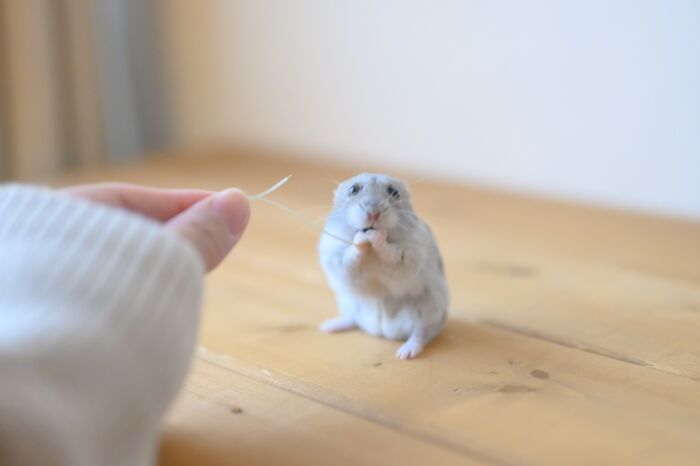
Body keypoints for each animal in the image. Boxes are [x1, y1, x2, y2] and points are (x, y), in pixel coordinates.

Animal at [318, 173, 449, 359]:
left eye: (394, 192)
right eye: (353, 189)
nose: (374, 214)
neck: (371, 251)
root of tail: (382, 331)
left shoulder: (410, 256)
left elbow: (390, 252)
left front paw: (376, 235)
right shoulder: (334, 256)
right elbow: (350, 253)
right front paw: (363, 236)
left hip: (429, 311)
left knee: (421, 334)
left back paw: (404, 353)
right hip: (347, 302)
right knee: (353, 319)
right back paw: (329, 327)